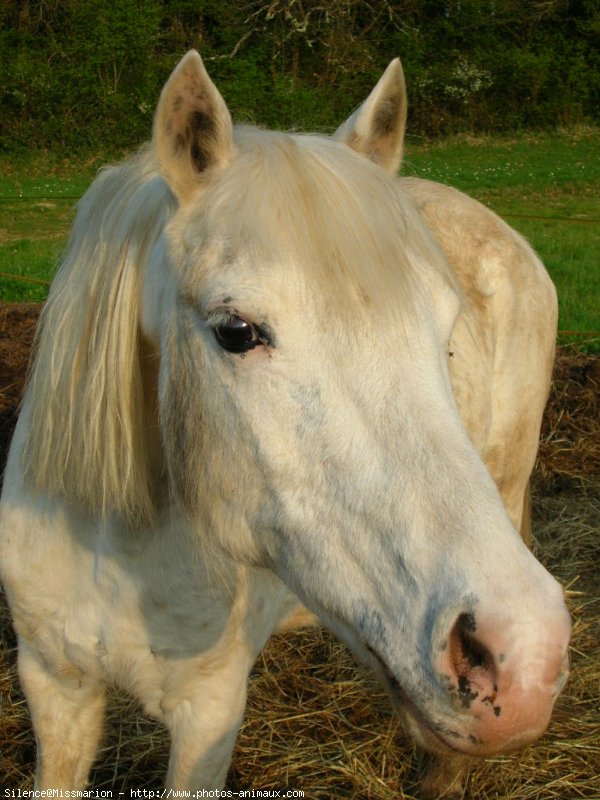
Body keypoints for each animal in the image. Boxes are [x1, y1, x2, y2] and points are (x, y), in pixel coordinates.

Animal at [0, 53, 568, 796]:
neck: (112, 548)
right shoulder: (53, 684)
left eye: (446, 336)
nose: (522, 652)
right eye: (236, 332)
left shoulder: (208, 714)